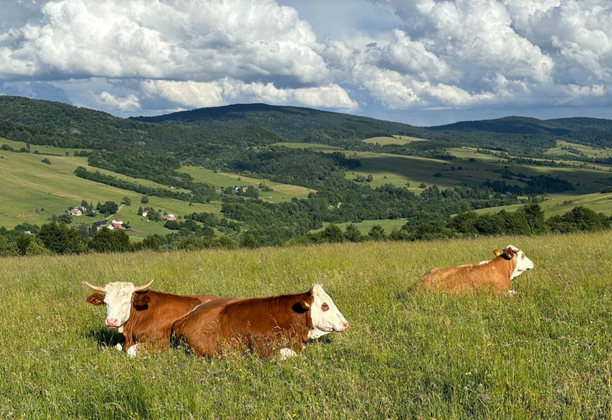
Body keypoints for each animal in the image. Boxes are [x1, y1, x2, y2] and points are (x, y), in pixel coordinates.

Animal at [85, 280, 216, 356]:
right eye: (105, 302)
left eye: (126, 302)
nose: (112, 321)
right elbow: (116, 346)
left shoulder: (163, 342)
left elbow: (131, 351)